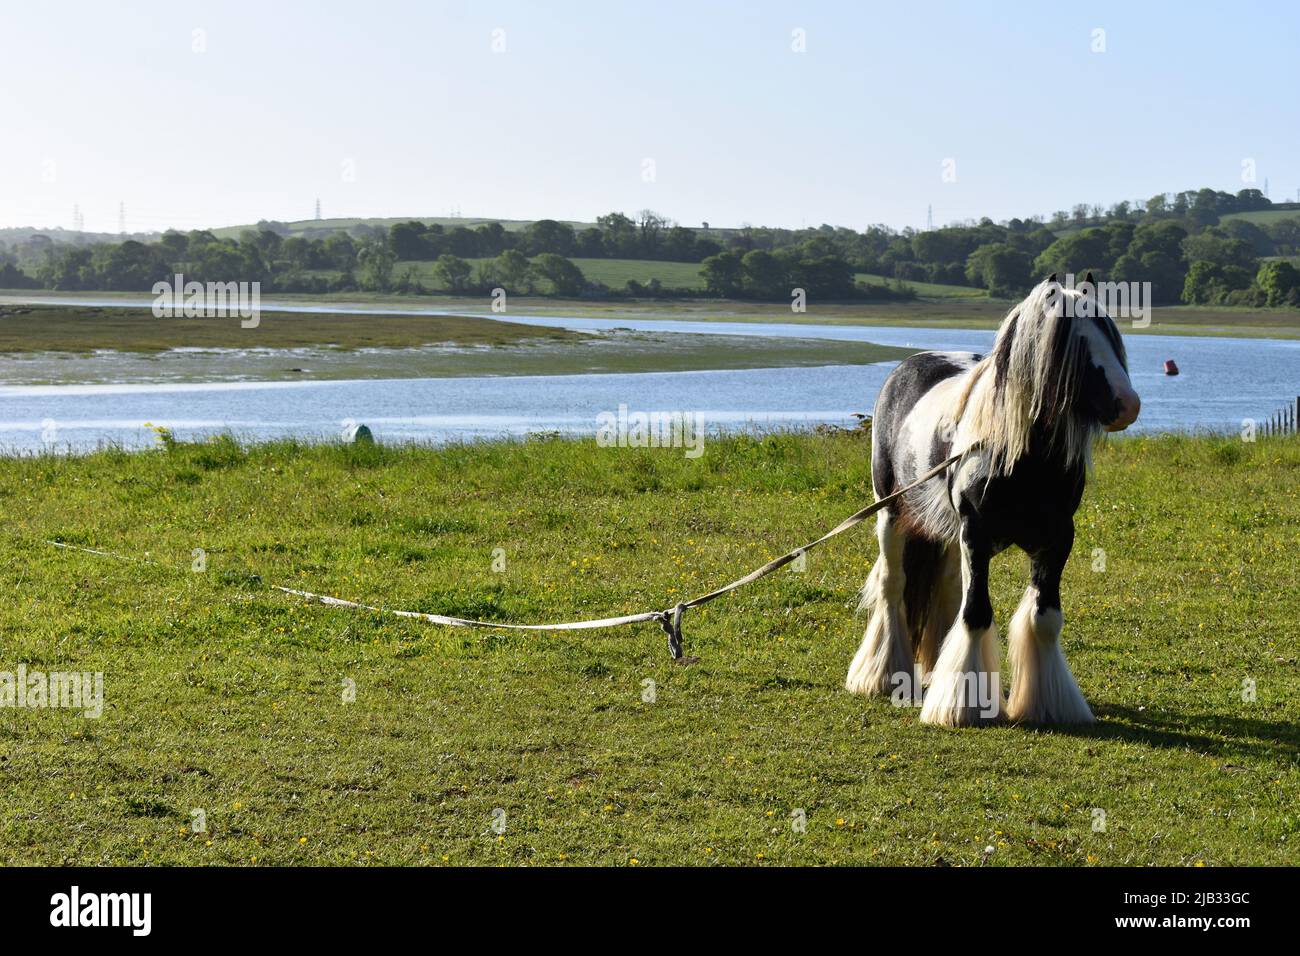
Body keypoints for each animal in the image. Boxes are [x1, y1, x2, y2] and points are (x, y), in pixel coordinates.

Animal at [844, 273, 1140, 726]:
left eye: (1110, 335)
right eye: (1071, 343)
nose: (1128, 405)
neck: (1020, 455)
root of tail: (906, 367)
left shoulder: (1057, 538)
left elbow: (1044, 618)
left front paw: (1046, 705)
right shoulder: (977, 536)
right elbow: (977, 613)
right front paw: (961, 707)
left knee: (947, 588)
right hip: (892, 515)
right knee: (893, 586)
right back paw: (884, 675)